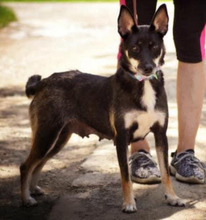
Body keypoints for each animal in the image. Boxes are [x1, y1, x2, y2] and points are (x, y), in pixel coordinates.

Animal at [20, 3, 185, 213]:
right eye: (135, 48)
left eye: (155, 47)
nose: (147, 68)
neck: (142, 84)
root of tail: (44, 82)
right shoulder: (121, 138)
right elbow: (125, 177)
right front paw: (129, 203)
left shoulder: (161, 135)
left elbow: (165, 173)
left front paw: (172, 197)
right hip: (46, 134)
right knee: (26, 166)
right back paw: (26, 198)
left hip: (58, 138)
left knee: (40, 163)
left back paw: (33, 190)